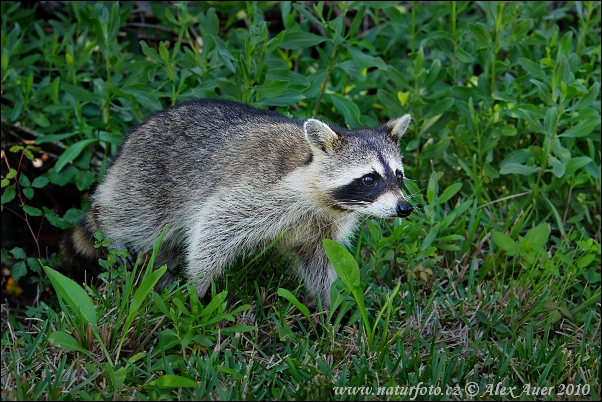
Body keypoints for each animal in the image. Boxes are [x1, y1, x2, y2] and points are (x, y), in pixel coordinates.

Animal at [67, 99, 412, 306]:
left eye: (398, 175)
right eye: (369, 179)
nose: (404, 209)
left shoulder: (322, 229)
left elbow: (322, 261)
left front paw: (327, 307)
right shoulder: (256, 193)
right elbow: (212, 232)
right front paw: (197, 289)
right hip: (145, 181)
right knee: (135, 221)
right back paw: (114, 235)